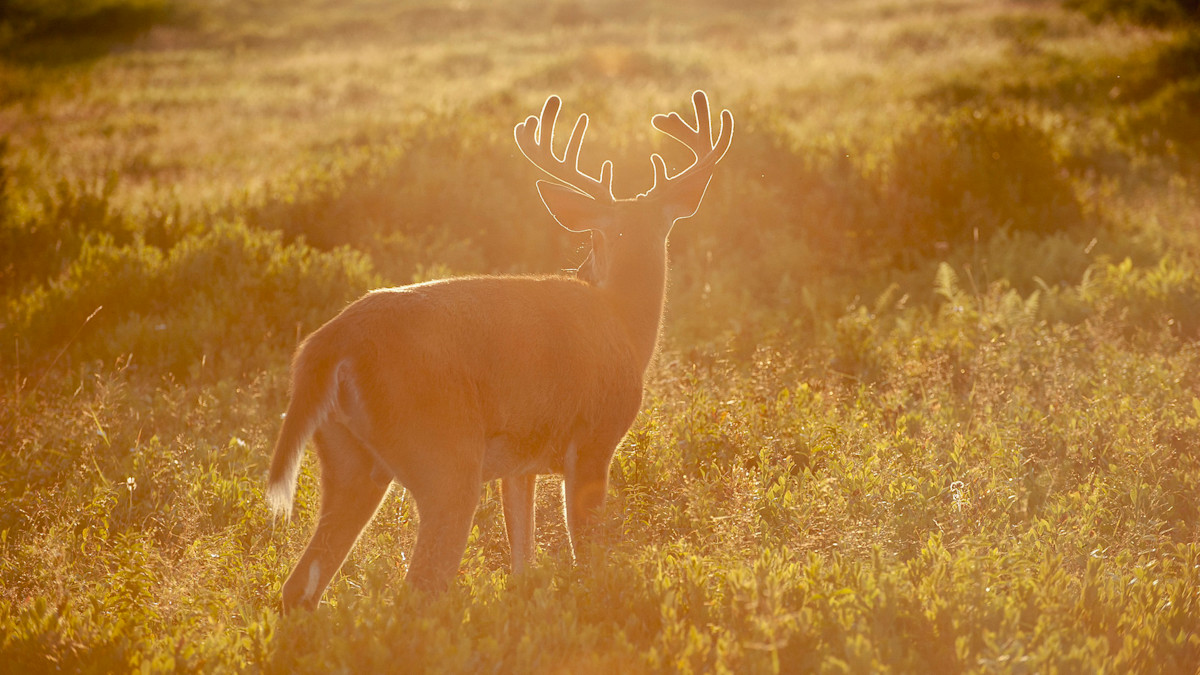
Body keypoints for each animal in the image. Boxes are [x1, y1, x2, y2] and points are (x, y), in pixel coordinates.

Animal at [266, 90, 734, 612]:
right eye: (594, 235)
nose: (584, 268)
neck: (625, 324)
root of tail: (327, 345)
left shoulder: (520, 464)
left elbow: (523, 560)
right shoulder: (595, 439)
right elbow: (587, 556)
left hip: (350, 461)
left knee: (300, 585)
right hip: (444, 455)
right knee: (418, 586)